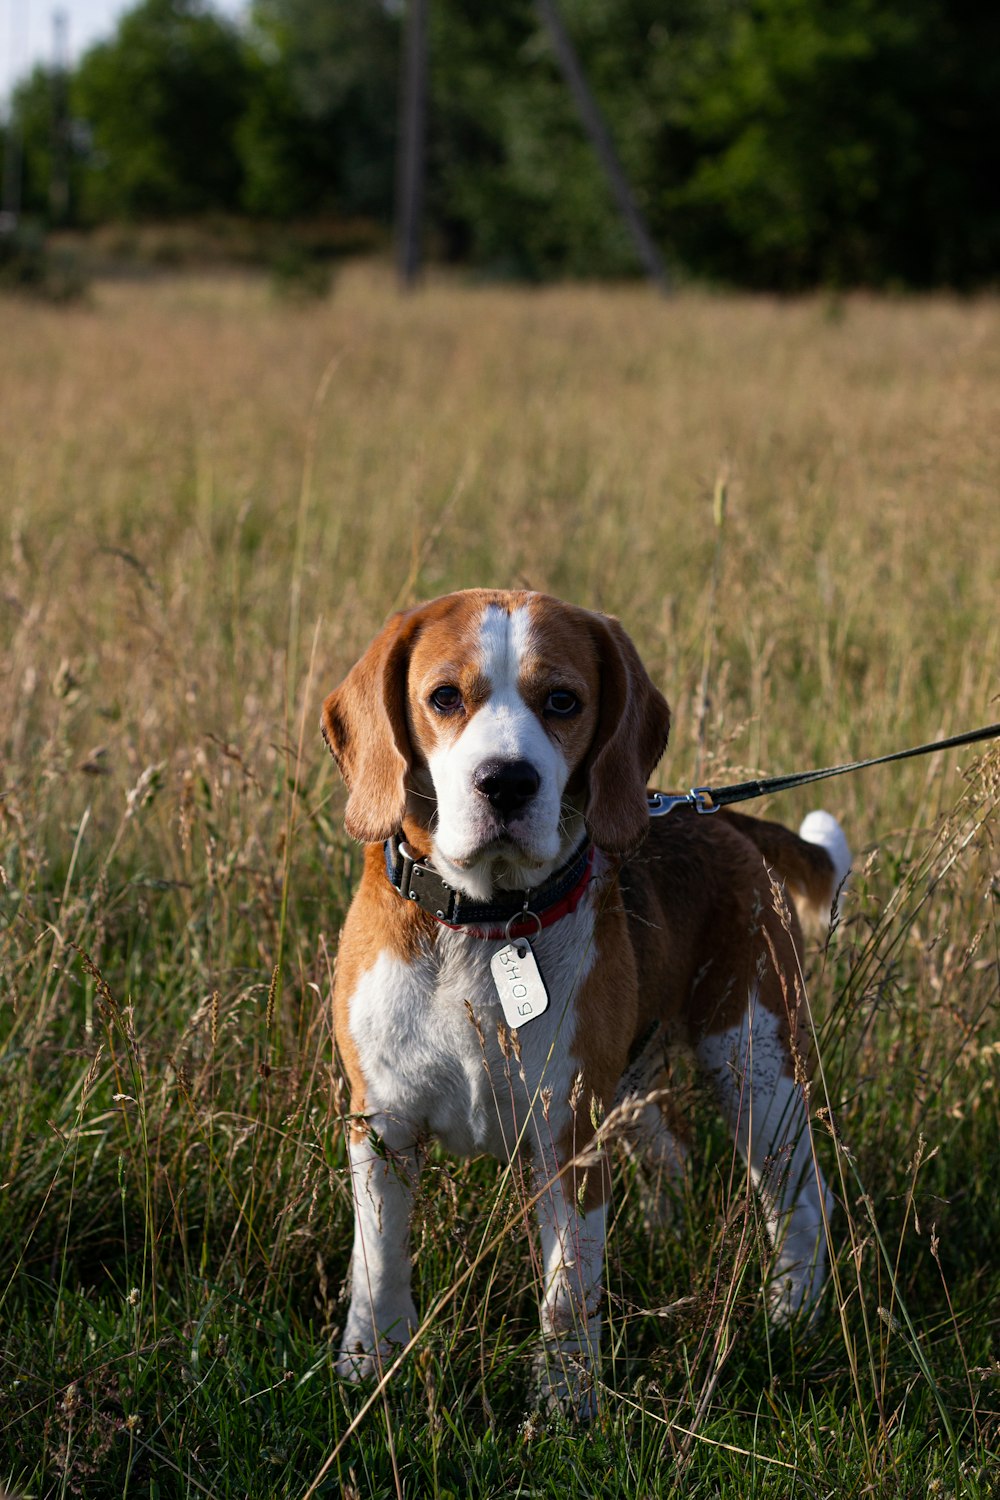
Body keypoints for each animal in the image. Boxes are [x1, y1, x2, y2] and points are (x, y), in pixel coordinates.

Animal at [322, 588, 851, 1416]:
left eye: (563, 701)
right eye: (444, 698)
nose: (506, 781)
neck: (485, 924)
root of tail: (714, 813)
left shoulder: (569, 1138)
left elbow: (569, 1286)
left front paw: (565, 1402)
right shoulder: (381, 1127)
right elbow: (378, 1263)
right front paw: (368, 1363)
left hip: (757, 1067)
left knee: (800, 1199)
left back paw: (791, 1314)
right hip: (637, 1087)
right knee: (673, 1152)